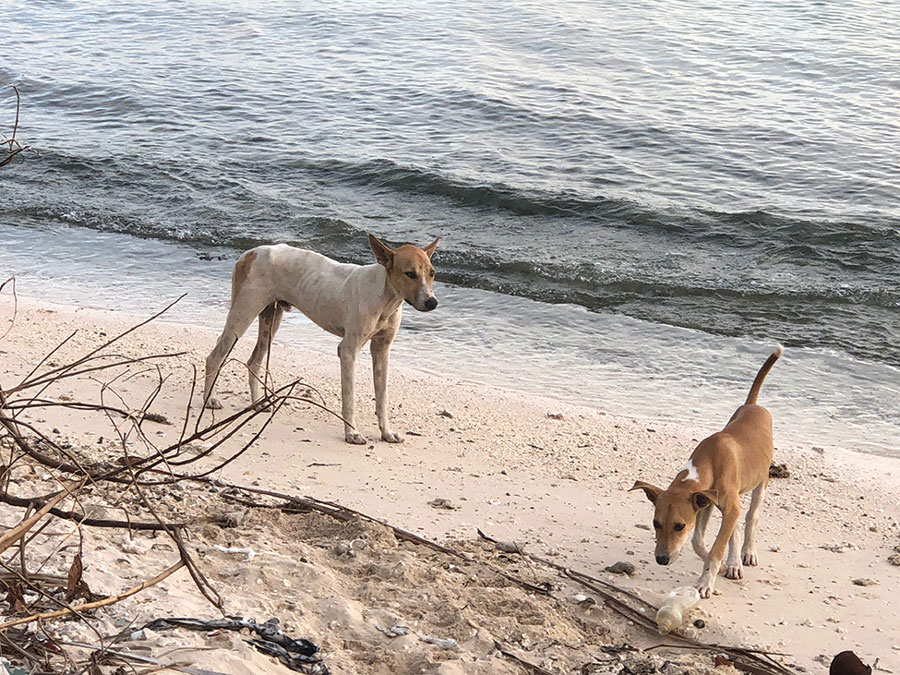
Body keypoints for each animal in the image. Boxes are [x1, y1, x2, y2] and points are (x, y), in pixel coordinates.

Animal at [205, 235, 442, 446]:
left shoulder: (382, 350)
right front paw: (352, 433)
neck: (384, 297)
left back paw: (257, 404)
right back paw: (209, 400)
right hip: (242, 316)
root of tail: (250, 253)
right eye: (410, 274)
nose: (432, 302)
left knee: (254, 361)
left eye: (432, 273)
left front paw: (387, 432)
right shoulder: (347, 350)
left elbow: (382, 398)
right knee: (214, 357)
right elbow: (349, 398)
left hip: (270, 320)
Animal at [632, 346, 780, 600]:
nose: (661, 559)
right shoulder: (706, 503)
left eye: (679, 526)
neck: (708, 462)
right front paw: (721, 567)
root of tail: (753, 405)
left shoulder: (718, 504)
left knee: (751, 517)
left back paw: (747, 553)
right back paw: (734, 562)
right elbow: (699, 542)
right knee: (736, 526)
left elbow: (716, 548)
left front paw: (705, 582)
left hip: (761, 482)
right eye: (655, 523)